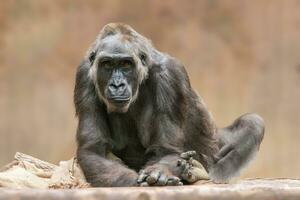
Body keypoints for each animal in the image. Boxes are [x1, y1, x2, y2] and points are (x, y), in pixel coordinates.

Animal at [74, 23, 264, 188]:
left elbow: (167, 149)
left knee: (252, 122)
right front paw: (135, 181)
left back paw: (198, 172)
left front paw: (160, 173)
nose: (117, 84)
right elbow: (94, 150)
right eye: (107, 64)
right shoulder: (83, 75)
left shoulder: (171, 75)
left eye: (126, 64)